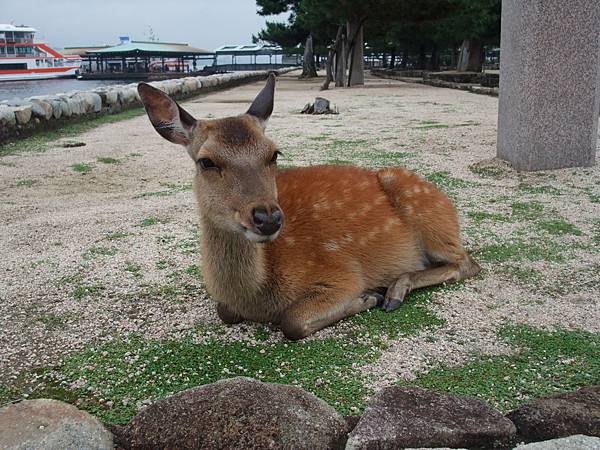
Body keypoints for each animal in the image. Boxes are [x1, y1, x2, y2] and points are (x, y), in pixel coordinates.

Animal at [138, 74, 480, 340]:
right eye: (206, 161)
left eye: (274, 153)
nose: (268, 218)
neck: (257, 298)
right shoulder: (227, 303)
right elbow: (225, 311)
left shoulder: (342, 273)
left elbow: (292, 321)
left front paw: (369, 296)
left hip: (427, 213)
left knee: (468, 263)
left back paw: (394, 291)